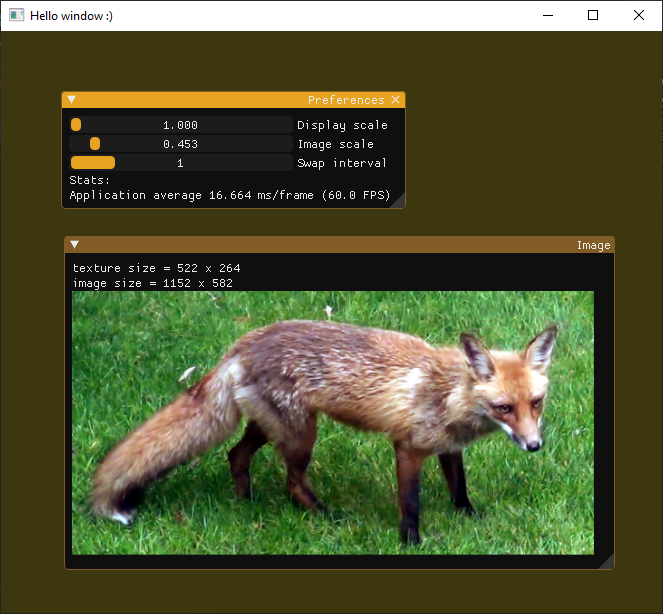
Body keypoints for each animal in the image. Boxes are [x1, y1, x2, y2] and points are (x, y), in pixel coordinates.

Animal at [91, 320, 558, 545]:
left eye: (535, 403)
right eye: (504, 408)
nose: (534, 446)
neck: (449, 393)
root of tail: (241, 344)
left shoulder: (448, 446)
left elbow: (459, 488)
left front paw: (469, 518)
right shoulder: (407, 447)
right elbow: (410, 503)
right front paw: (411, 542)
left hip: (270, 427)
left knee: (236, 456)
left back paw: (246, 503)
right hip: (301, 435)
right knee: (293, 481)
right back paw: (326, 515)